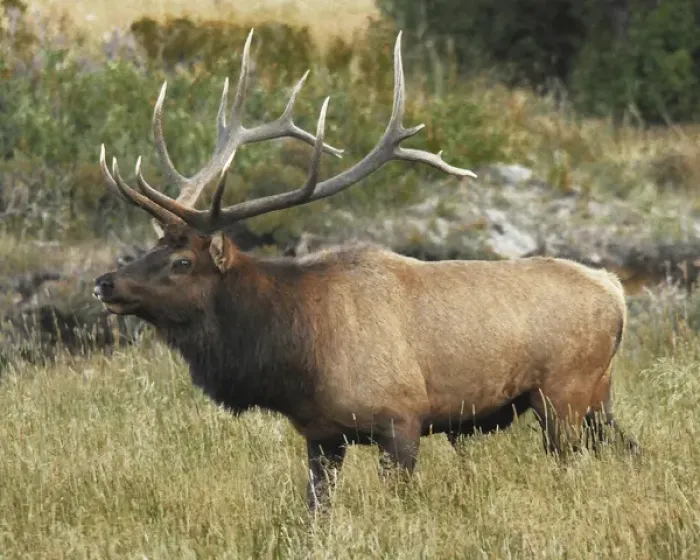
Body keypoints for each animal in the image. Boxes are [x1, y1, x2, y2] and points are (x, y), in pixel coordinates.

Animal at [93, 29, 639, 511]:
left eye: (182, 262)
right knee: (628, 448)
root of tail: (615, 290)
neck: (296, 355)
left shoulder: (401, 418)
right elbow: (316, 511)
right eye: (152, 246)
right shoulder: (321, 436)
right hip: (599, 398)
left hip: (563, 393)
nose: (105, 283)